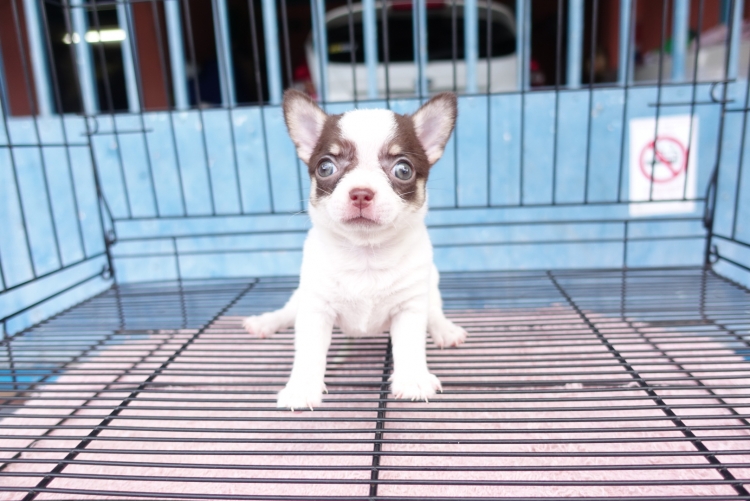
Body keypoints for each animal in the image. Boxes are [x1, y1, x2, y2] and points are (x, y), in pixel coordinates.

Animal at [243, 90, 467, 410]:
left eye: (403, 170)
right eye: (325, 167)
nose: (361, 192)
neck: (365, 254)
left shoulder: (410, 307)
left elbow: (410, 345)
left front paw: (413, 378)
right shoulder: (315, 308)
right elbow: (308, 352)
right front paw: (302, 387)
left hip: (430, 287)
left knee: (434, 311)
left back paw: (444, 329)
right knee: (288, 311)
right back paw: (265, 322)